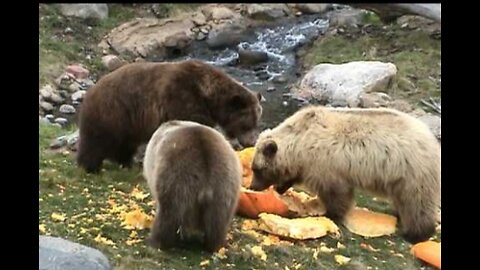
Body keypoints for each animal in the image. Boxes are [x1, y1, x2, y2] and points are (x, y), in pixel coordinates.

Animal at [77, 59, 262, 173]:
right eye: (247, 123)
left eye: (256, 122)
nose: (251, 142)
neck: (207, 95)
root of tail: (90, 92)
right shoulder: (182, 99)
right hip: (113, 113)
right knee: (96, 142)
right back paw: (90, 167)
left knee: (125, 145)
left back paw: (127, 163)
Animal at [142, 120, 240, 253]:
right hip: (225, 186)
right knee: (218, 221)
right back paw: (213, 245)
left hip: (177, 178)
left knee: (168, 213)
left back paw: (156, 242)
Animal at [249, 106, 440, 245]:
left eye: (257, 169)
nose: (253, 186)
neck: (300, 143)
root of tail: (431, 138)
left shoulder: (327, 165)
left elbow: (336, 194)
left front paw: (331, 214)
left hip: (411, 171)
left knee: (417, 202)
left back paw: (417, 234)